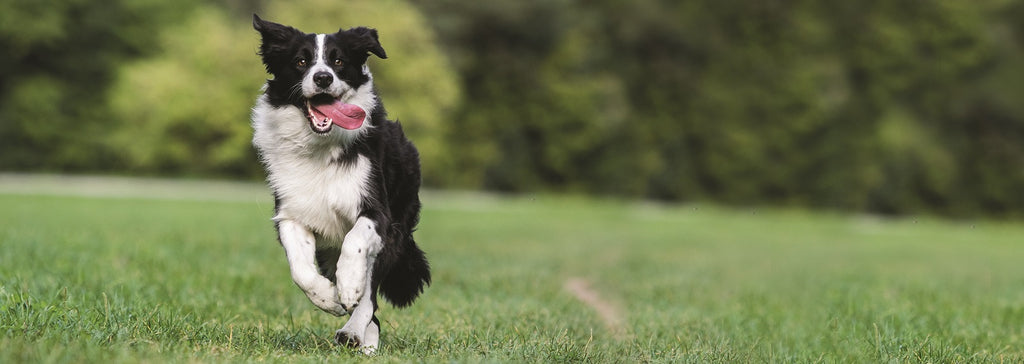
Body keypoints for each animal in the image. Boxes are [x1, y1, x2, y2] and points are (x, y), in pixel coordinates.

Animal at [253, 15, 434, 354]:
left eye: (338, 61)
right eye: (301, 61)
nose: (323, 78)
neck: (320, 148)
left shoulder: (377, 212)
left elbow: (356, 243)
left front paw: (348, 286)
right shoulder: (291, 213)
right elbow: (300, 269)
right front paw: (328, 298)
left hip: (396, 231)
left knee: (371, 294)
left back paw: (354, 333)